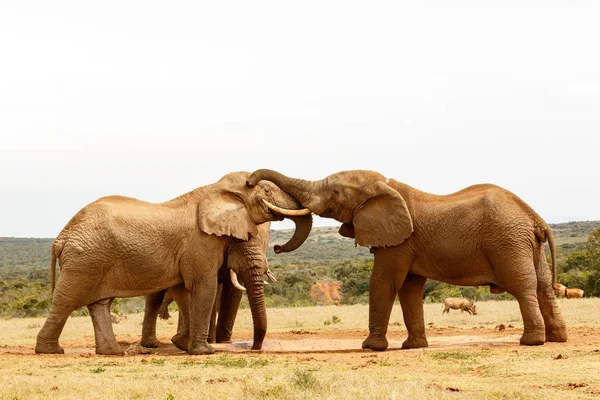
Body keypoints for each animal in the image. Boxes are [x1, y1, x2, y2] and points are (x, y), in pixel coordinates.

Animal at [35, 170, 312, 354]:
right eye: (266, 191)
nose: (254, 348)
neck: (217, 189)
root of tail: (61, 238)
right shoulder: (201, 242)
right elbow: (204, 287)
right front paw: (203, 351)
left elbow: (184, 291)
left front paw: (184, 345)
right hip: (85, 259)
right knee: (66, 300)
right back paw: (50, 351)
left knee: (99, 304)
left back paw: (112, 352)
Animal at [245, 169, 568, 350]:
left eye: (335, 192)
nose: (249, 182)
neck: (385, 185)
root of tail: (535, 217)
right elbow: (409, 288)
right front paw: (412, 347)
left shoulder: (399, 241)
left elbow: (384, 282)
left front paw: (370, 347)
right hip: (526, 244)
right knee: (543, 288)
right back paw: (557, 340)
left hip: (508, 241)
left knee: (523, 286)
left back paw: (531, 342)